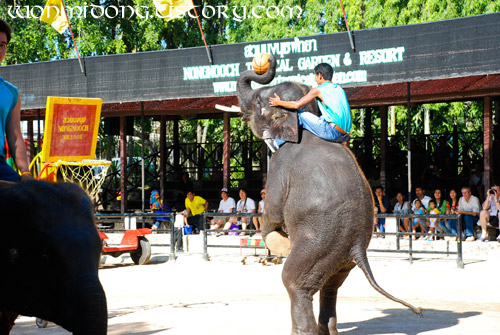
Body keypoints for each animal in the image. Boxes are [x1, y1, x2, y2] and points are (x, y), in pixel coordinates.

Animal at [236, 53, 420, 334]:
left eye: (258, 101)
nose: (268, 61)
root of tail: (357, 249)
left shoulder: (281, 163)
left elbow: (275, 208)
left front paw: (272, 237)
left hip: (320, 243)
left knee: (294, 282)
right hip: (339, 255)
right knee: (332, 284)